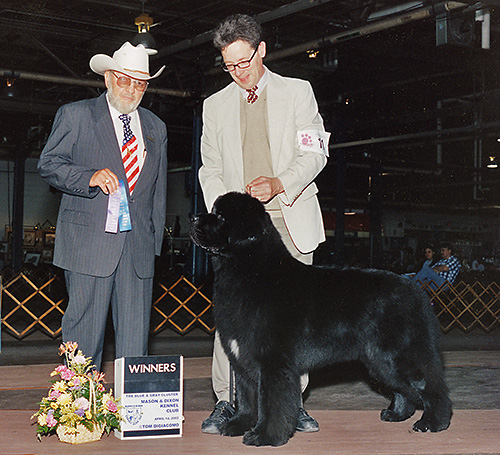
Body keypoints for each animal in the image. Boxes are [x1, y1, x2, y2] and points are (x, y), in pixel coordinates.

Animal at [190, 192, 454, 448]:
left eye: (221, 217)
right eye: (213, 211)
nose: (193, 218)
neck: (250, 270)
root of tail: (417, 290)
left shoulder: (273, 362)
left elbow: (271, 403)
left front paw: (265, 436)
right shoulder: (242, 360)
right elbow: (246, 398)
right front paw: (238, 425)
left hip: (402, 353)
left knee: (431, 386)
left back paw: (433, 422)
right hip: (380, 360)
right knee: (403, 388)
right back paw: (397, 414)